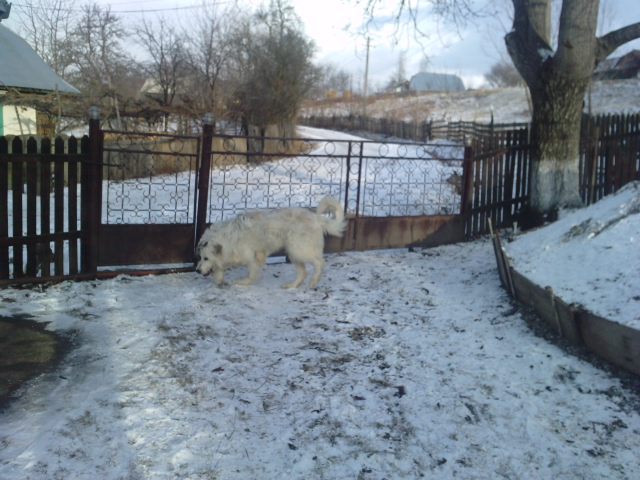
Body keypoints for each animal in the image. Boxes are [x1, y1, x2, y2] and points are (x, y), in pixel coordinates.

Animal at [195, 196, 344, 288]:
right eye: (200, 257)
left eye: (206, 258)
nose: (197, 270)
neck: (228, 238)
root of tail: (316, 218)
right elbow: (219, 270)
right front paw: (219, 281)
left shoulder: (253, 257)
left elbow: (252, 273)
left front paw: (243, 282)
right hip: (293, 252)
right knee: (303, 272)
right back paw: (292, 286)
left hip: (299, 249)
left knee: (320, 263)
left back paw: (314, 281)